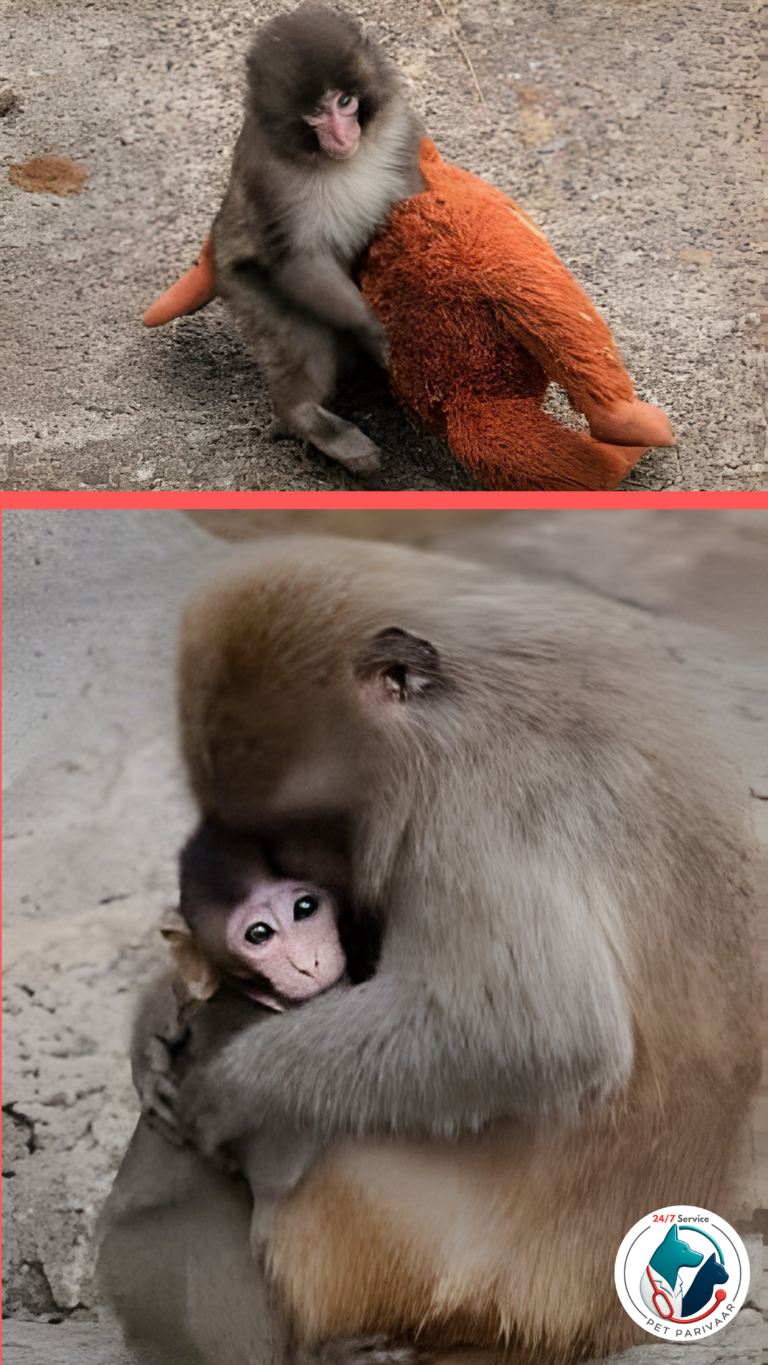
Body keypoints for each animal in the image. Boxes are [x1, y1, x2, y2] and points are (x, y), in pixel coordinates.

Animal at [101, 535, 760, 1365]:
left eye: (311, 830)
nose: (309, 934)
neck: (471, 699)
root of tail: (590, 1325)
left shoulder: (478, 808)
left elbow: (541, 1032)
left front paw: (230, 1087)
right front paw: (161, 1007)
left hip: (431, 1256)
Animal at [212, 5, 425, 476]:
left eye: (345, 102)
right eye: (314, 115)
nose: (343, 137)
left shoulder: (401, 130)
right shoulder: (269, 175)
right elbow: (299, 259)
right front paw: (376, 334)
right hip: (240, 285)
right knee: (300, 338)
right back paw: (308, 420)